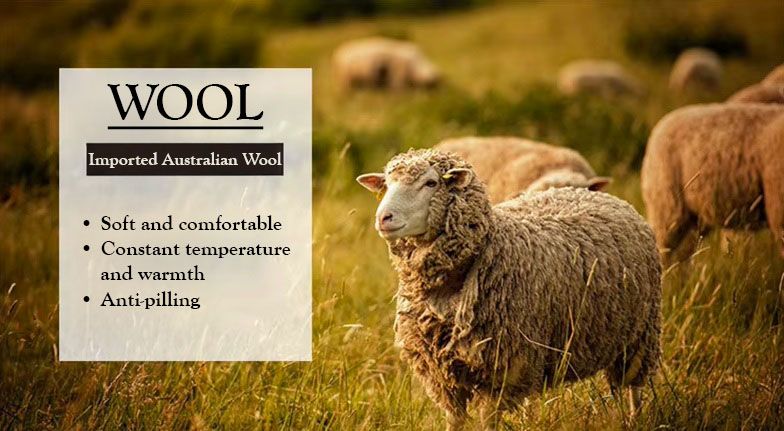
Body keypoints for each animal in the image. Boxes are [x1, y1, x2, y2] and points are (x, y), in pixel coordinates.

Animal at [357, 149, 662, 430]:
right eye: (386, 184)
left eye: (431, 183)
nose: (384, 217)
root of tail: (605, 197)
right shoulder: (442, 372)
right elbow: (455, 419)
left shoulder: (501, 366)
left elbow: (487, 420)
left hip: (640, 334)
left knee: (633, 387)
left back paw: (633, 420)